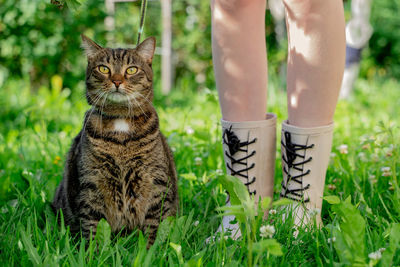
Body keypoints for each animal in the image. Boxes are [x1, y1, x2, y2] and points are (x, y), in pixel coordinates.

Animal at [52, 34, 178, 246]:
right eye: (104, 68)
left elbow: (155, 226)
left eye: (131, 69)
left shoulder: (156, 183)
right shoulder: (91, 184)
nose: (117, 81)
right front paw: (91, 252)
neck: (121, 124)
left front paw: (152, 250)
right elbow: (92, 227)